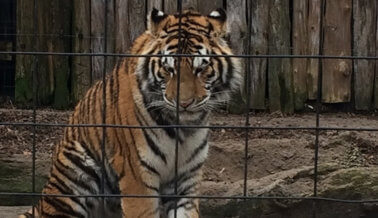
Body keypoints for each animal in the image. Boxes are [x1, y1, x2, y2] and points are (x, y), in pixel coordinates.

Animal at [19, 7, 241, 217]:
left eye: (201, 69)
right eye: (169, 70)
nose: (184, 103)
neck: (184, 128)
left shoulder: (187, 178)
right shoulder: (137, 174)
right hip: (77, 169)